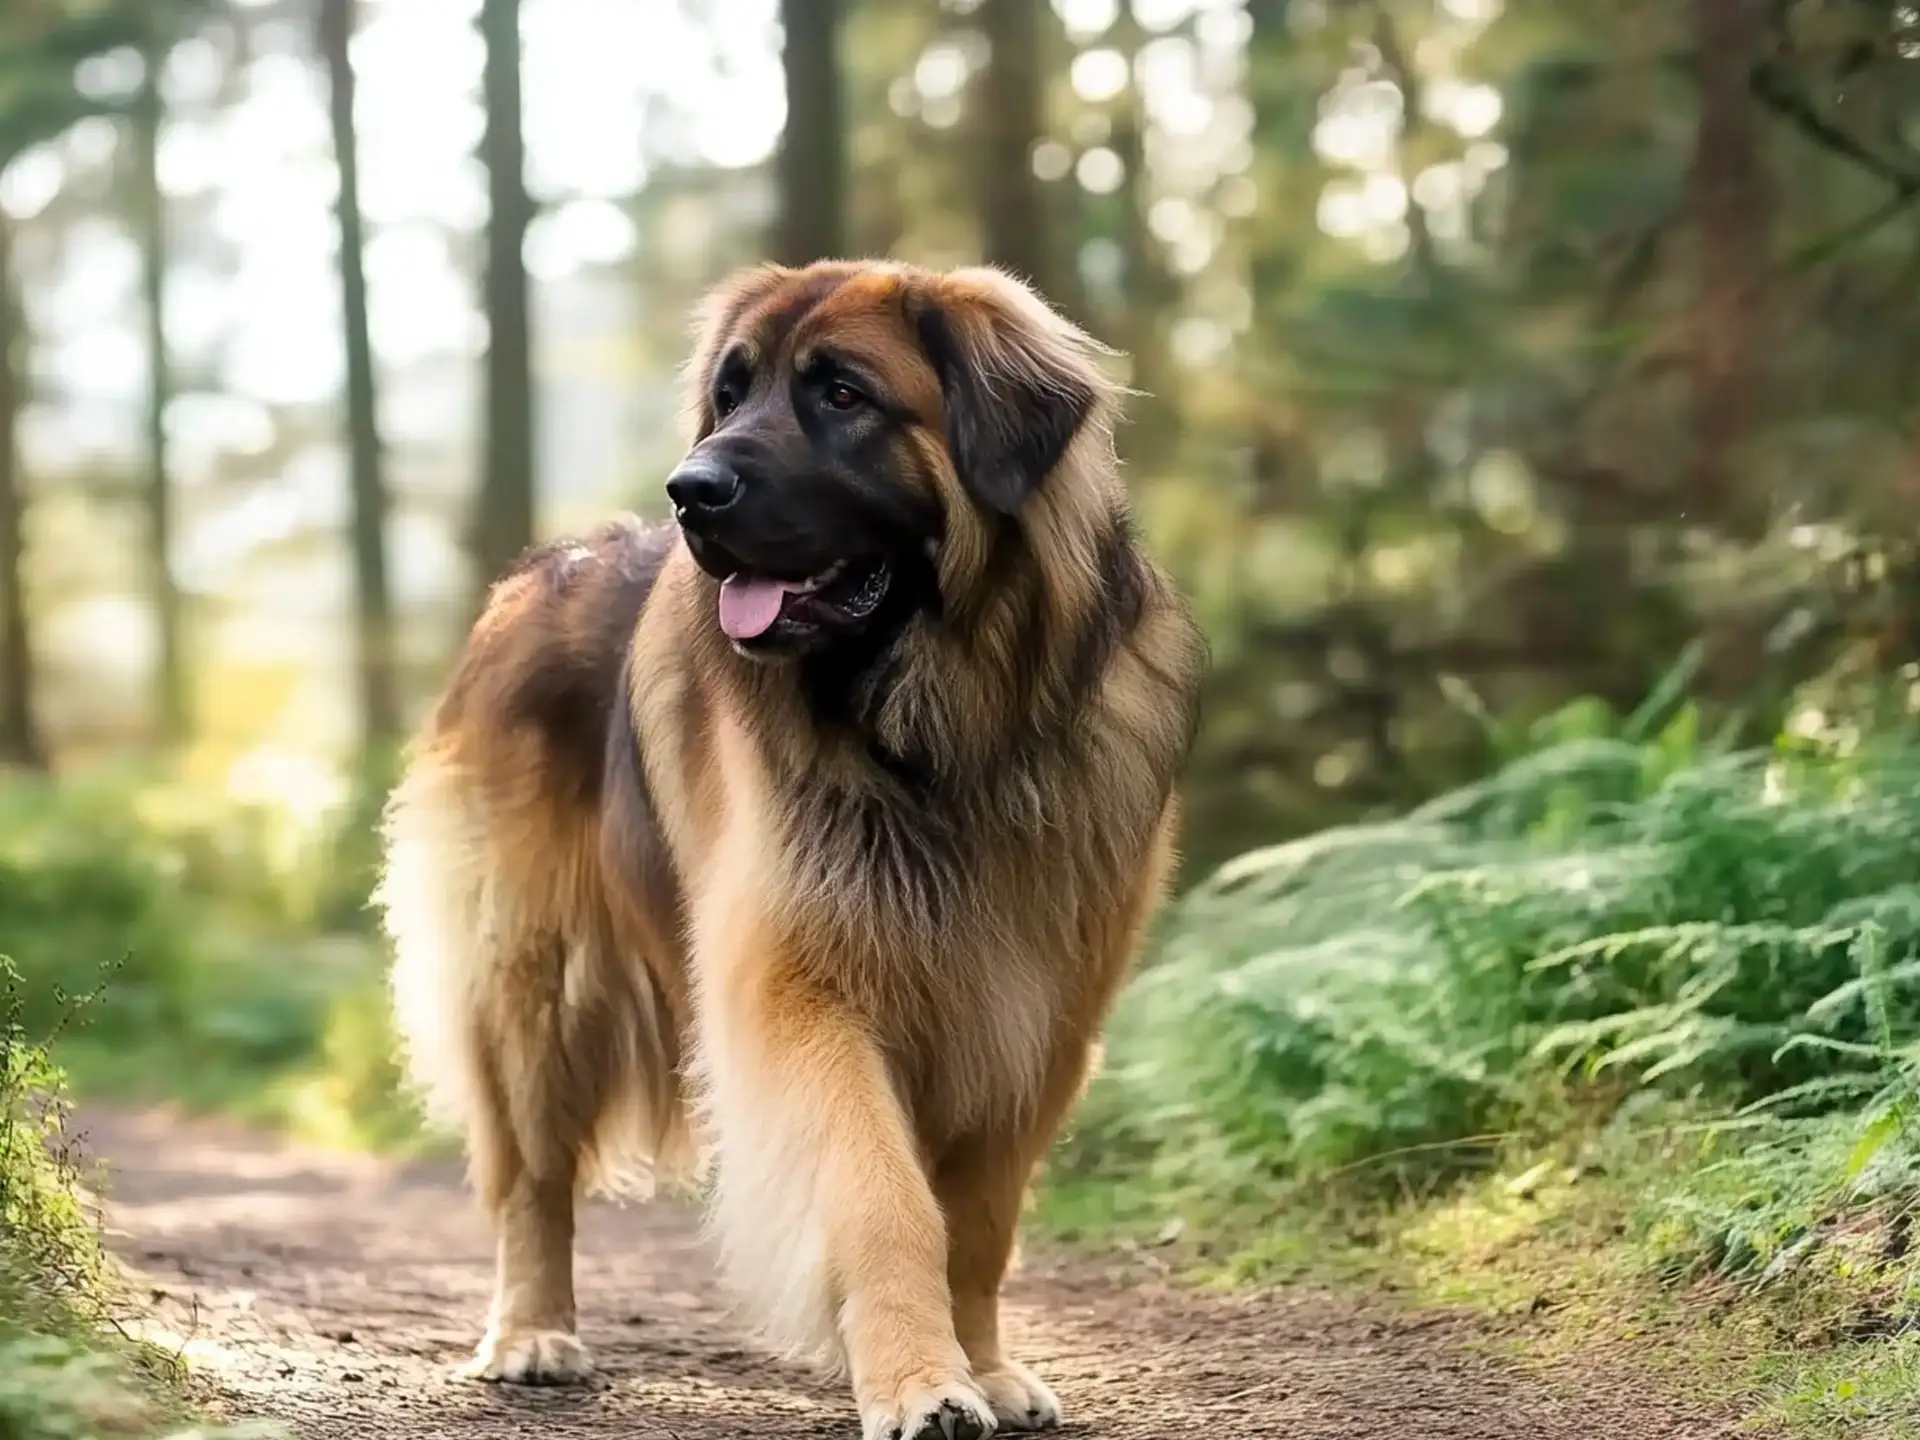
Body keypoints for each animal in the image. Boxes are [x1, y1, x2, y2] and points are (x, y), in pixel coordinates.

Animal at [372, 263, 1198, 1440]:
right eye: (731, 393)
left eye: (843, 394)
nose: (690, 491)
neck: (941, 729)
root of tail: (533, 575)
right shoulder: (806, 986)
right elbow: (882, 1195)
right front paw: (920, 1379)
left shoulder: (1040, 1014)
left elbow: (982, 1216)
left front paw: (982, 1362)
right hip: (536, 982)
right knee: (532, 1177)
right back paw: (532, 1331)